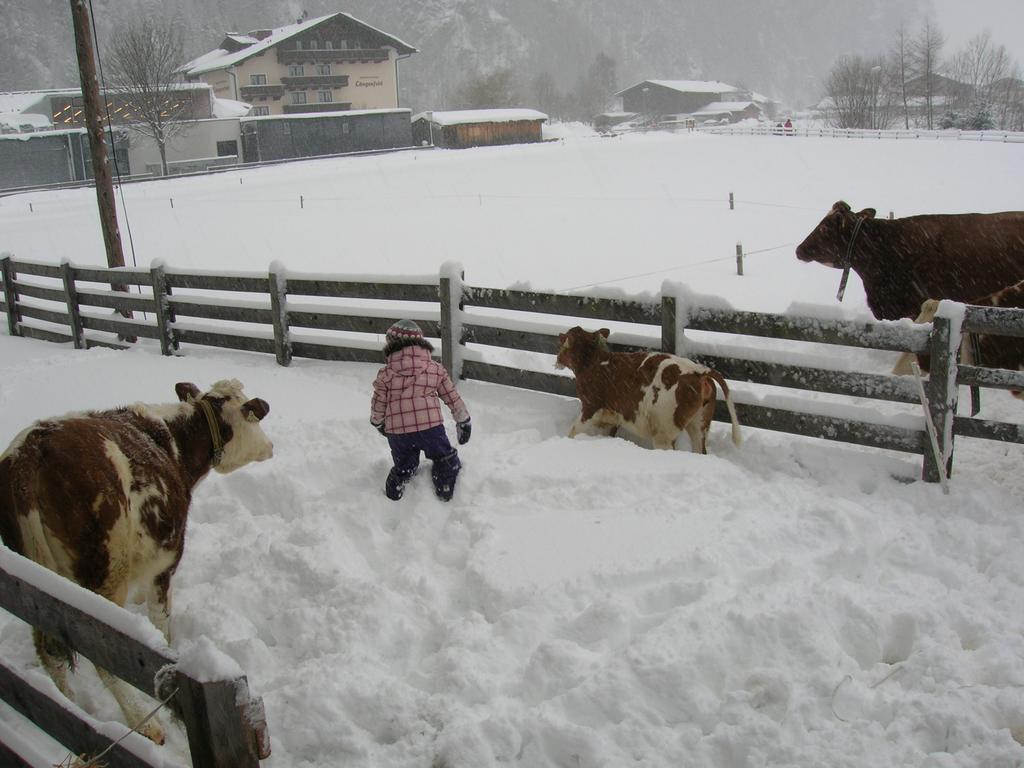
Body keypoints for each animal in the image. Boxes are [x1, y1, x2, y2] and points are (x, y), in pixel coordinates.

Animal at [0, 382, 272, 749]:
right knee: (100, 651)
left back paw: (70, 707)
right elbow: (160, 622)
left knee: (49, 651)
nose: (270, 446)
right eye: (252, 414)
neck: (177, 444)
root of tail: (29, 452)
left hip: (35, 580)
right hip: (106, 573)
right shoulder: (167, 558)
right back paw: (145, 724)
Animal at [557, 327, 741, 454]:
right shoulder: (611, 417)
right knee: (699, 450)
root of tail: (698, 371)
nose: (557, 359)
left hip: (663, 432)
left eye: (564, 342)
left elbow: (573, 430)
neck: (593, 362)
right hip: (700, 424)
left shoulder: (590, 406)